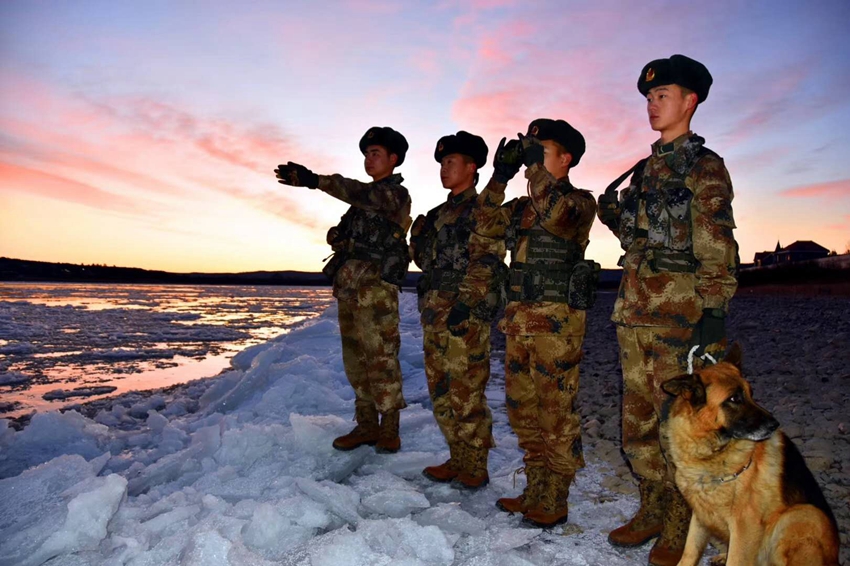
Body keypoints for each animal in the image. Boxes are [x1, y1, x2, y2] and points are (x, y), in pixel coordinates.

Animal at [664, 346, 836, 566]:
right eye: (734, 399)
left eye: (751, 394)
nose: (775, 425)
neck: (709, 456)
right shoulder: (700, 516)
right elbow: (690, 552)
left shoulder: (744, 526)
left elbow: (735, 560)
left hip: (801, 515)